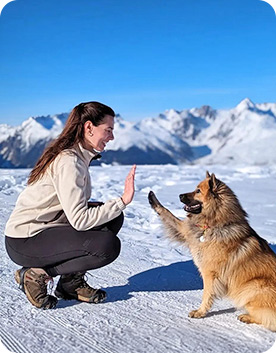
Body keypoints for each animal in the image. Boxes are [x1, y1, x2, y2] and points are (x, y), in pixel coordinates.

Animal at [148, 171, 276, 332]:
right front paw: (153, 199)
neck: (213, 224)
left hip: (254, 286)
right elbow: (168, 214)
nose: (179, 195)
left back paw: (246, 317)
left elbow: (207, 295)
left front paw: (200, 312)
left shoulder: (210, 274)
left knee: (268, 319)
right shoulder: (186, 231)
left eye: (198, 191)